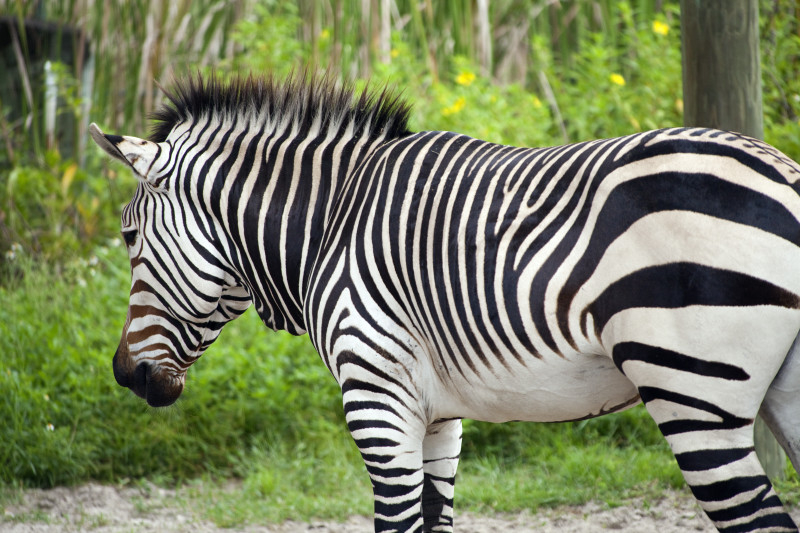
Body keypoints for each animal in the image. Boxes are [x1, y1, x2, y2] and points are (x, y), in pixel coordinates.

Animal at [90, 72, 800, 533]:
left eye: (127, 235)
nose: (125, 375)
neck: (330, 225)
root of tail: (780, 171)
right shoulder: (438, 415)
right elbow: (435, 520)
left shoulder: (376, 398)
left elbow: (398, 523)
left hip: (694, 394)